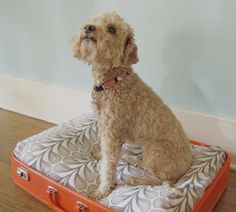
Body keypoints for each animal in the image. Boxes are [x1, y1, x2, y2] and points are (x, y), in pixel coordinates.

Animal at [73, 12, 193, 200]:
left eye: (112, 29)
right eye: (93, 21)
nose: (88, 27)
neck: (114, 81)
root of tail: (189, 164)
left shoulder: (112, 133)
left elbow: (108, 167)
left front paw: (102, 190)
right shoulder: (104, 128)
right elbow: (106, 155)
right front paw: (99, 154)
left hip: (155, 150)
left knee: (161, 180)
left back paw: (137, 179)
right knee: (150, 170)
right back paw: (133, 160)